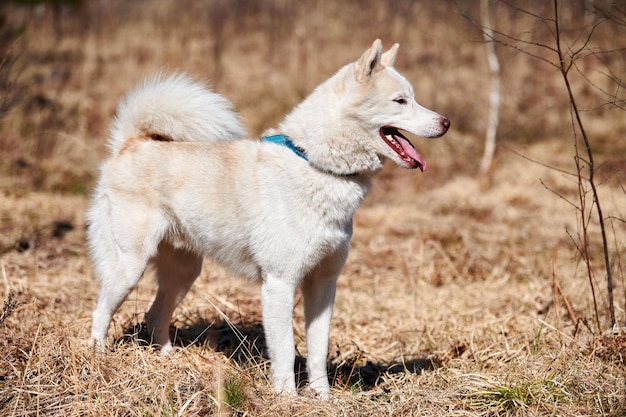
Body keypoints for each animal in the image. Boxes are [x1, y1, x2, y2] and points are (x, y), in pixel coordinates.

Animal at [88, 39, 448, 396]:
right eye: (400, 101)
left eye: (413, 97)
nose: (446, 122)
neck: (317, 165)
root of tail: (131, 144)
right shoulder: (279, 283)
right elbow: (286, 350)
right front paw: (287, 398)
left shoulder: (324, 283)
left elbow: (318, 349)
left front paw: (322, 397)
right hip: (128, 267)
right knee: (101, 312)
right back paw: (99, 361)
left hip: (184, 273)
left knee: (154, 317)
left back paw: (169, 361)